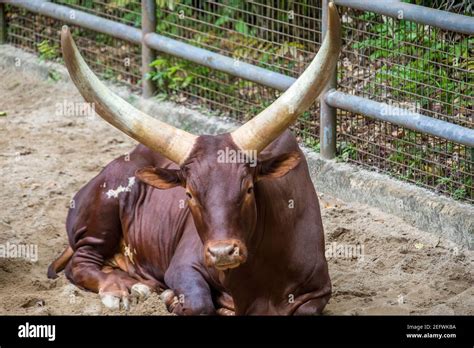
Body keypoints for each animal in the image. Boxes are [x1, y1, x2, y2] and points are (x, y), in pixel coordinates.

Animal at [48, 3, 340, 316]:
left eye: (249, 188)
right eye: (188, 193)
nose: (222, 252)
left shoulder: (319, 290)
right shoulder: (183, 266)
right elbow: (200, 303)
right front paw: (174, 299)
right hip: (101, 214)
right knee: (80, 263)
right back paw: (120, 289)